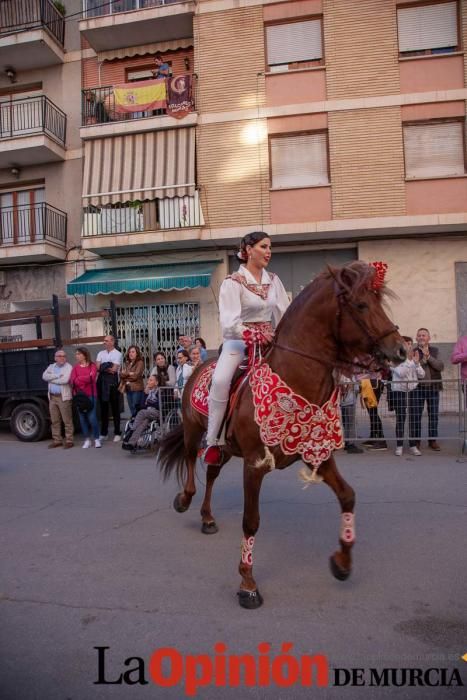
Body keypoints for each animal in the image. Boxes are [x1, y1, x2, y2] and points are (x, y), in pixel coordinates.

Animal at [157, 262, 406, 608]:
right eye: (360, 305)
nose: (400, 350)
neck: (295, 378)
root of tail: (198, 365)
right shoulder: (255, 465)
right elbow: (251, 520)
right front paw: (248, 584)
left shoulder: (318, 455)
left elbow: (348, 496)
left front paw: (342, 562)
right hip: (195, 430)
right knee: (193, 461)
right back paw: (184, 499)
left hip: (224, 447)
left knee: (211, 471)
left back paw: (207, 518)